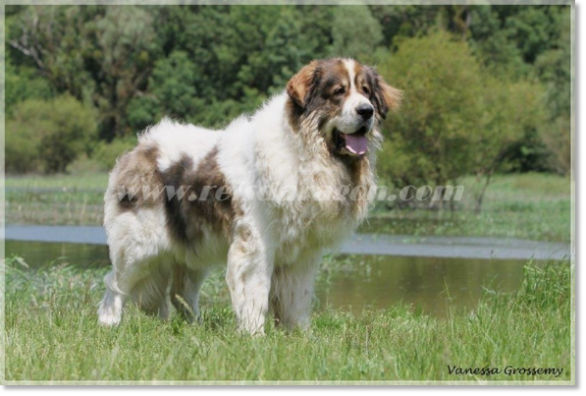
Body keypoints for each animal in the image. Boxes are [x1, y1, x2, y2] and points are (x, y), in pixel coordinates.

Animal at [98, 57, 400, 332]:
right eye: (339, 92)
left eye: (366, 92)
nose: (366, 111)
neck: (306, 153)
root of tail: (141, 146)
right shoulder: (257, 243)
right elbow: (257, 291)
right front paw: (255, 335)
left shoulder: (303, 252)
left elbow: (297, 297)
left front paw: (300, 335)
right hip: (139, 245)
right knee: (115, 283)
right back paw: (109, 322)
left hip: (195, 244)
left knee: (180, 291)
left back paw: (194, 327)